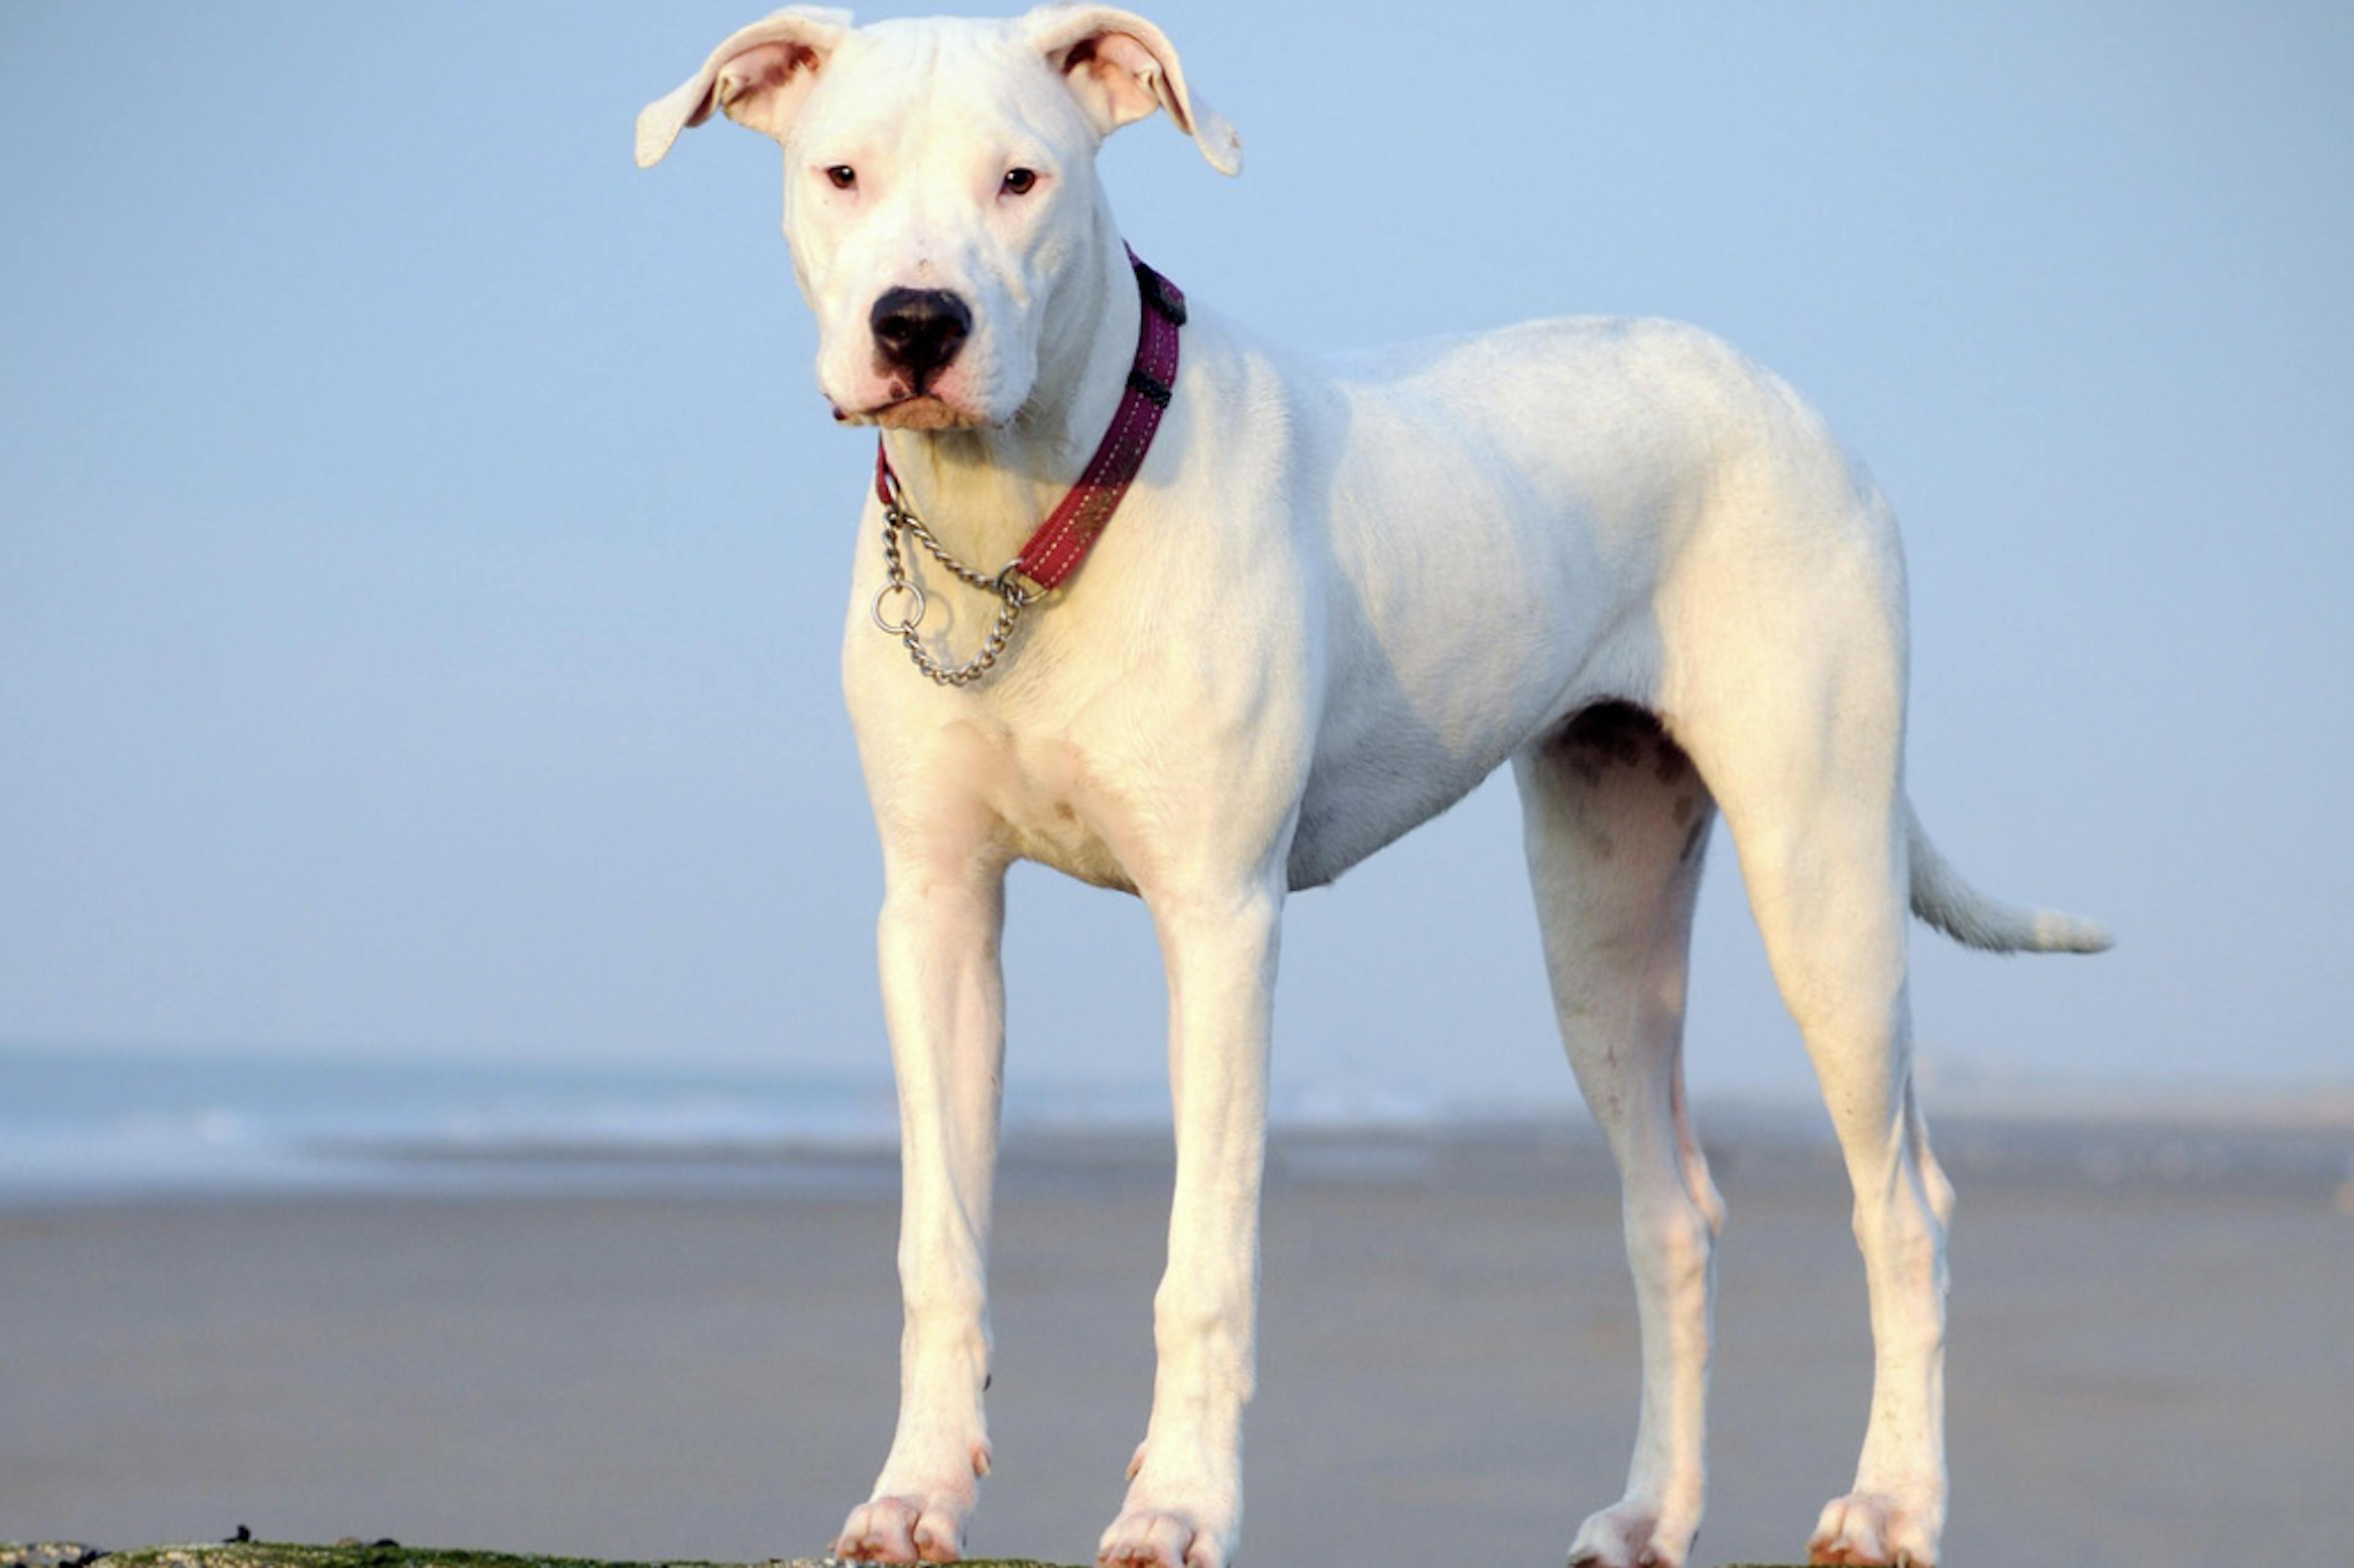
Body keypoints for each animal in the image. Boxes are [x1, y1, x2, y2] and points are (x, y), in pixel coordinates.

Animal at [635, 6, 2109, 1553]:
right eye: (841, 174)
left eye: (1022, 180)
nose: (917, 323)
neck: (1025, 514)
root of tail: (1792, 403)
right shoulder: (933, 914)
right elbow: (941, 1242)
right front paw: (914, 1490)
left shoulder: (1221, 916)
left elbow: (1204, 1258)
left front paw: (1176, 1507)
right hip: (1602, 927)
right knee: (1672, 1211)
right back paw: (1653, 1510)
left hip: (1821, 876)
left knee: (1905, 1208)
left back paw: (1891, 1502)